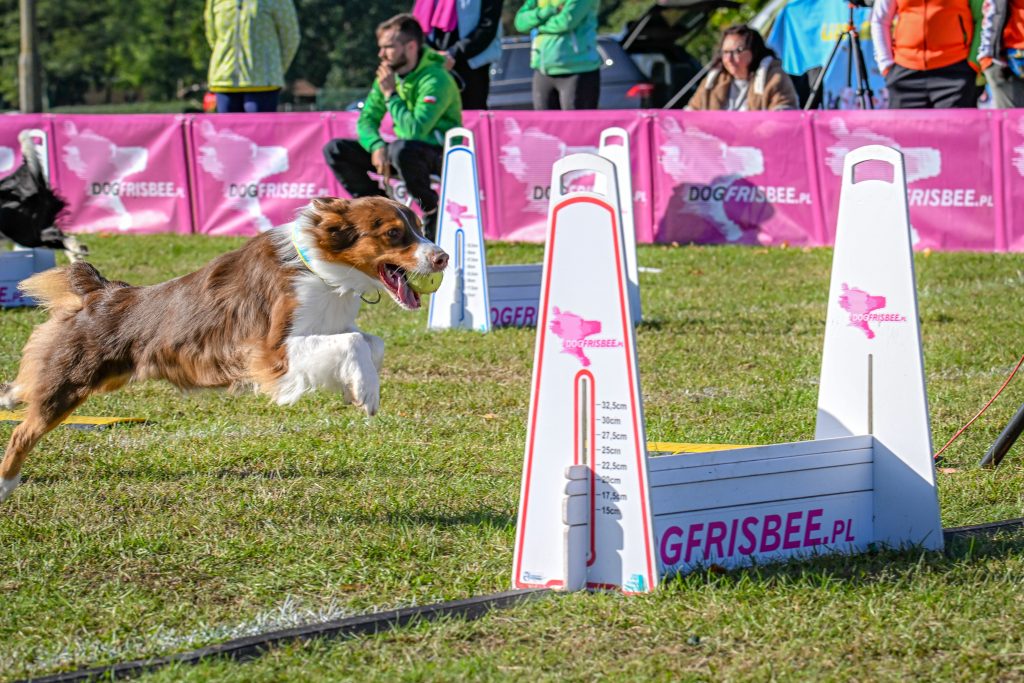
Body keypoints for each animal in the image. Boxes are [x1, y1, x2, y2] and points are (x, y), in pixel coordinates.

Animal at [0, 194, 448, 499]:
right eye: (394, 234)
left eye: (419, 227)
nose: (443, 257)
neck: (321, 269)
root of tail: (102, 292)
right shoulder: (272, 353)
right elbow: (355, 340)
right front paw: (366, 393)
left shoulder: (324, 330)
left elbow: (373, 341)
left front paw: (356, 388)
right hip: (72, 381)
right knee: (23, 431)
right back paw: (6, 484)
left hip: (97, 375)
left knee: (25, 385)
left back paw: (8, 398)